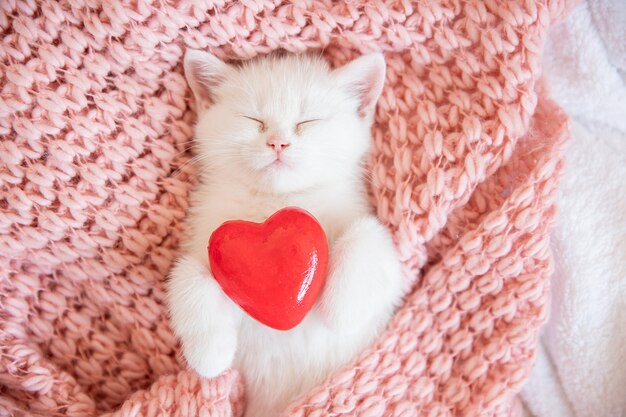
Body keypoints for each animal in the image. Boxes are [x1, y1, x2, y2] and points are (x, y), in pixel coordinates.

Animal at [166, 49, 402, 416]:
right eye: (253, 119)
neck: (277, 201)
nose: (278, 142)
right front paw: (210, 353)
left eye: (309, 121)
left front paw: (340, 310)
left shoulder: (390, 277)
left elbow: (370, 237)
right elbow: (186, 274)